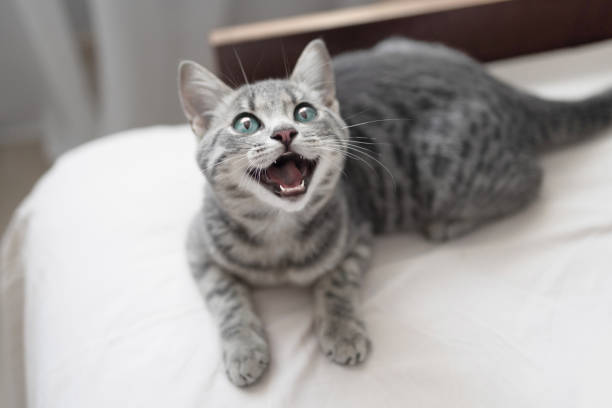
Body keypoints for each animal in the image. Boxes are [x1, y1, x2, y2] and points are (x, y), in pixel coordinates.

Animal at [177, 37, 612, 386]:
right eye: (245, 123)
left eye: (304, 113)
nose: (285, 132)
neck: (278, 235)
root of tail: (500, 86)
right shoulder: (198, 244)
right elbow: (228, 299)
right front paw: (244, 349)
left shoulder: (358, 233)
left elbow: (336, 285)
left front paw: (341, 330)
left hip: (447, 172)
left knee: (533, 178)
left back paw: (447, 224)